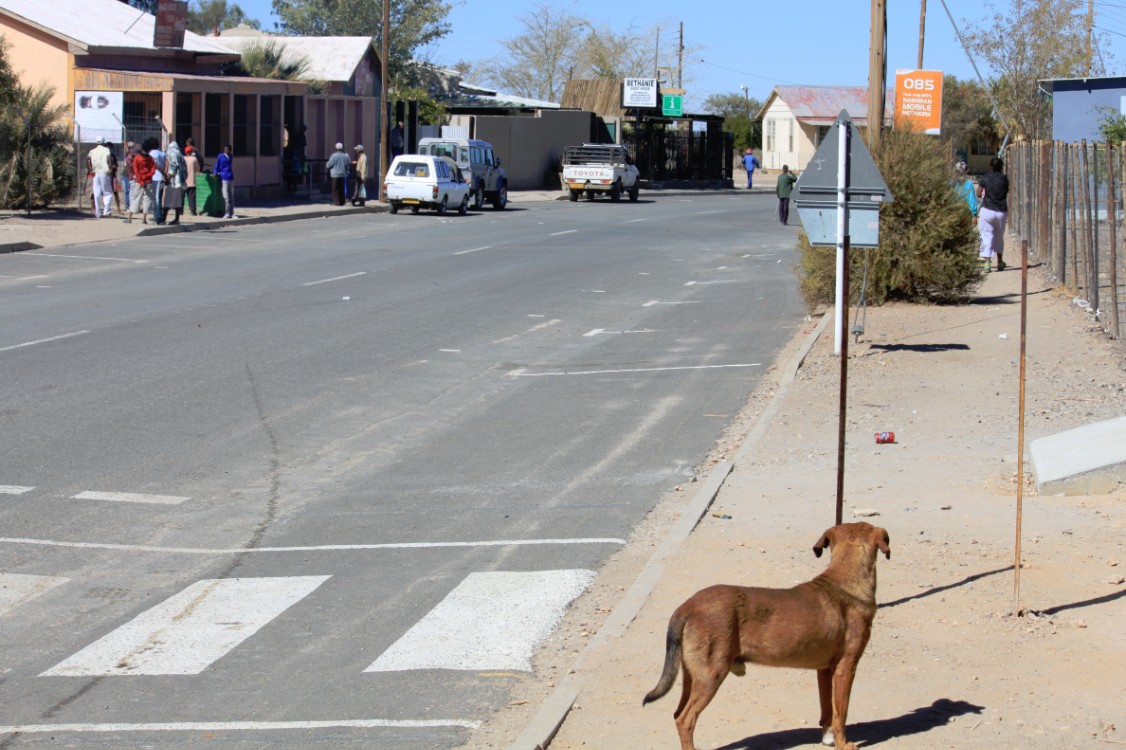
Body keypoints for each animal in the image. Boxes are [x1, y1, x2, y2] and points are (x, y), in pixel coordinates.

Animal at [644, 520, 887, 747]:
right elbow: (841, 714)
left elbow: (827, 709)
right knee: (685, 720)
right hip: (711, 674)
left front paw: (827, 738)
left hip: (691, 674)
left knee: (677, 713)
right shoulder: (846, 668)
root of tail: (687, 606)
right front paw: (843, 744)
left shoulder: (825, 669)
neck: (845, 582)